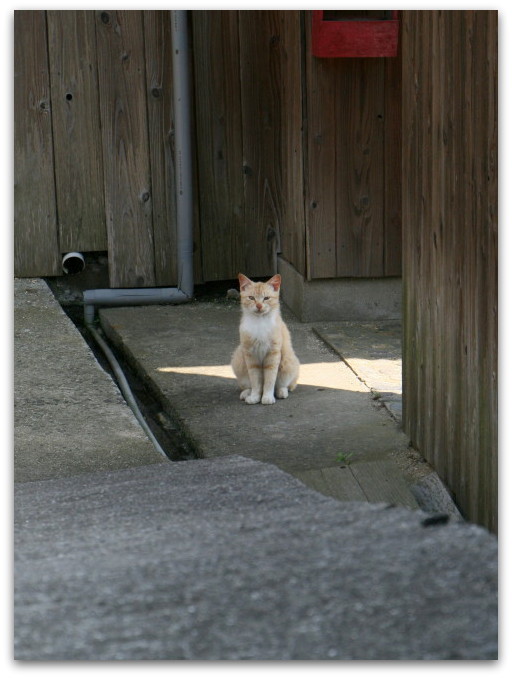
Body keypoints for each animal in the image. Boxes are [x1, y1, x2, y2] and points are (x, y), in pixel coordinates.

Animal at [229, 274, 298, 406]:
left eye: (266, 298)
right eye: (251, 298)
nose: (259, 306)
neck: (259, 322)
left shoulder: (273, 355)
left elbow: (270, 381)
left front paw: (267, 397)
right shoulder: (251, 356)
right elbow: (256, 382)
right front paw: (255, 397)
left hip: (288, 361)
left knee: (285, 385)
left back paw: (281, 392)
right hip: (238, 359)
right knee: (248, 386)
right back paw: (246, 393)